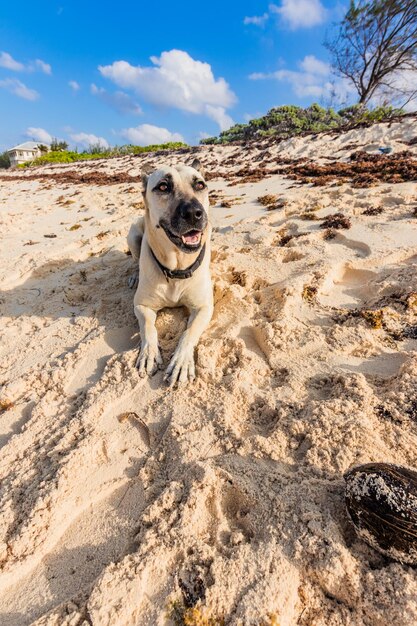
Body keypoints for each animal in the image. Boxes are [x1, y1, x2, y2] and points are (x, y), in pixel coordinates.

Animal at [126, 160, 211, 386]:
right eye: (163, 186)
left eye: (200, 184)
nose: (194, 213)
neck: (176, 268)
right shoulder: (142, 306)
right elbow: (148, 327)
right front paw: (148, 353)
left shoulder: (204, 307)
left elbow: (189, 331)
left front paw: (181, 362)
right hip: (133, 233)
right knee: (134, 259)